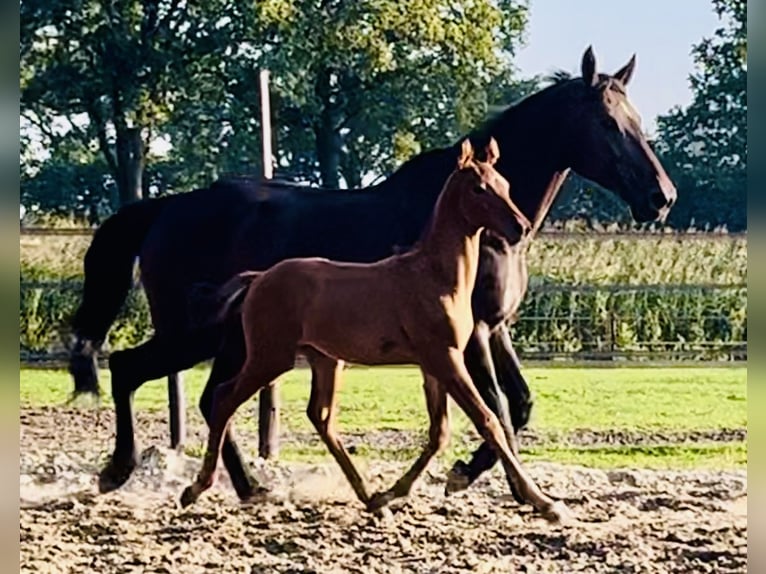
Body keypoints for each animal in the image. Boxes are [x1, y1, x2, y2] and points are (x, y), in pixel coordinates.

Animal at [182, 140, 568, 528]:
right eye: (479, 188)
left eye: (504, 184)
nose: (521, 227)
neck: (435, 276)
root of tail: (258, 278)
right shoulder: (446, 358)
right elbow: (488, 420)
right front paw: (546, 504)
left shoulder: (432, 365)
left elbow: (439, 433)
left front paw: (392, 493)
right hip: (270, 357)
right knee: (223, 398)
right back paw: (197, 488)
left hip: (325, 360)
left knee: (321, 417)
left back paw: (371, 500)